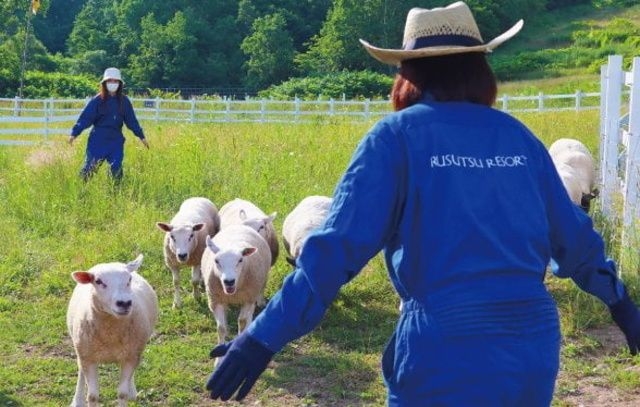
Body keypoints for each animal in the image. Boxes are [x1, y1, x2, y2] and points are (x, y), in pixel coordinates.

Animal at [67, 253, 158, 406]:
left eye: (129, 279)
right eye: (98, 281)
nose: (124, 303)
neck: (110, 334)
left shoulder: (131, 356)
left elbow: (122, 393)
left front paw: (127, 392)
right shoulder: (88, 358)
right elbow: (92, 396)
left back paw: (132, 391)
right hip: (81, 348)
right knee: (80, 371)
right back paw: (77, 400)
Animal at [200, 225, 270, 356]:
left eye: (240, 260)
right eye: (216, 261)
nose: (229, 281)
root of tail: (239, 225)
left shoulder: (248, 298)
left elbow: (242, 322)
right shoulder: (215, 301)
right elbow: (221, 328)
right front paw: (219, 356)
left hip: (254, 293)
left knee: (249, 316)